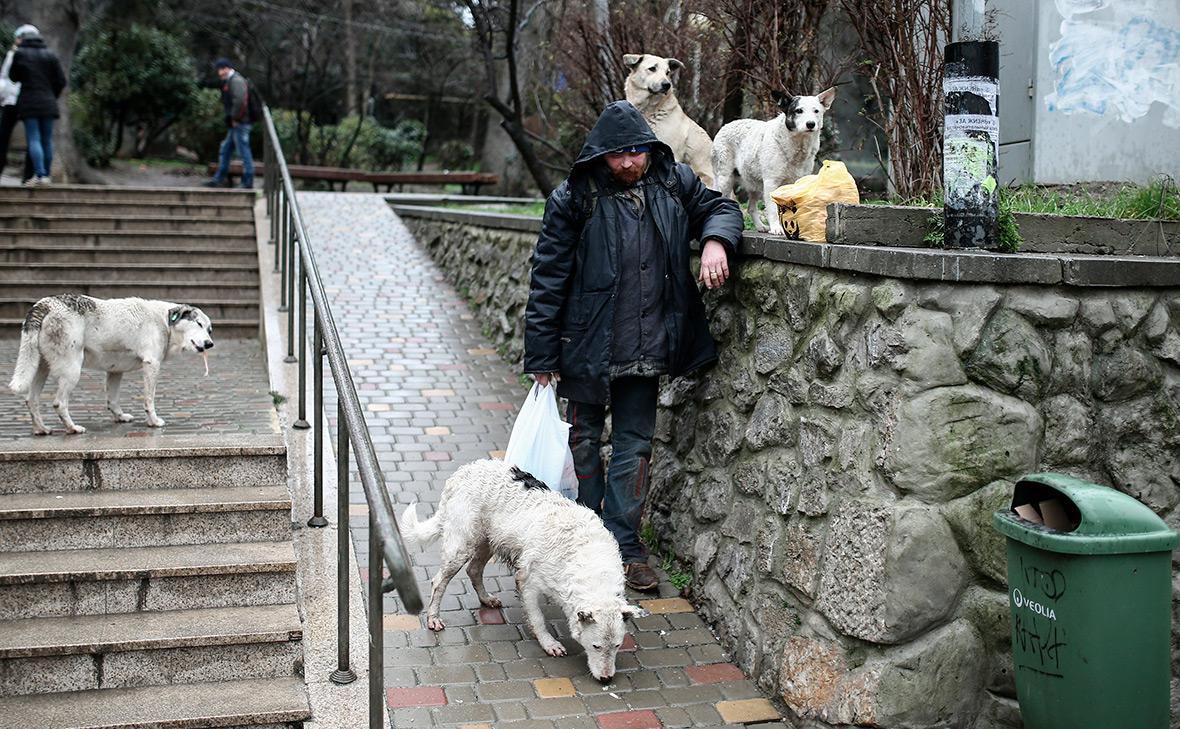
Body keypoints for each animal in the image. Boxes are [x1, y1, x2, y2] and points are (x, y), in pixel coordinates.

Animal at [8, 293, 217, 431]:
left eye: (209, 330)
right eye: (198, 324)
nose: (210, 344)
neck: (165, 322)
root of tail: (45, 304)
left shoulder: (115, 371)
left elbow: (113, 399)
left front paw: (120, 417)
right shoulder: (152, 365)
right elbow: (149, 399)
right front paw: (153, 422)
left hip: (40, 368)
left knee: (31, 399)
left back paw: (41, 429)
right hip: (72, 370)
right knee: (59, 403)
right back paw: (73, 428)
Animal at [401, 460, 641, 679]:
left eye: (618, 646)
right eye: (596, 646)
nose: (607, 679)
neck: (589, 561)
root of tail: (462, 472)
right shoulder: (527, 582)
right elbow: (537, 618)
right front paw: (548, 643)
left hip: (489, 540)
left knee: (474, 570)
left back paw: (486, 598)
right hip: (462, 546)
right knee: (439, 581)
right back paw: (433, 617)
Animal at [707, 86, 840, 235]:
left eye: (816, 111)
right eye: (799, 111)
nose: (810, 124)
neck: (797, 147)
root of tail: (724, 126)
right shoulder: (771, 182)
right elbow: (772, 210)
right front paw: (777, 228)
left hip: (756, 185)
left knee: (751, 208)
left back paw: (760, 227)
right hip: (726, 181)